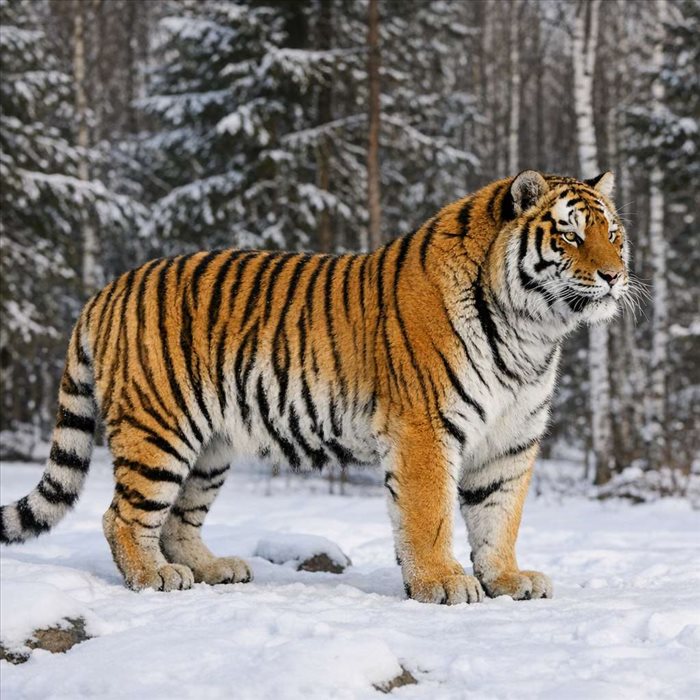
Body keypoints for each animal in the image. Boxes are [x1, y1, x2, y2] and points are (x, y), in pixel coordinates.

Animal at [0, 169, 628, 604]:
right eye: (571, 237)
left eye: (614, 236)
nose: (614, 275)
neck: (530, 335)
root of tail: (107, 289)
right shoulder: (426, 429)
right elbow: (430, 515)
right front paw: (442, 583)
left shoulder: (511, 439)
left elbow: (499, 517)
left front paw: (507, 579)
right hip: (160, 429)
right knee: (122, 516)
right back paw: (154, 577)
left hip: (210, 447)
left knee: (178, 519)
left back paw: (213, 569)